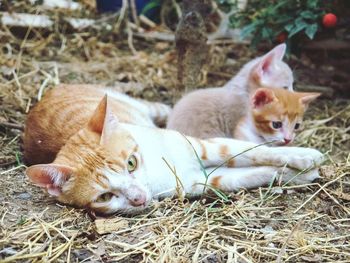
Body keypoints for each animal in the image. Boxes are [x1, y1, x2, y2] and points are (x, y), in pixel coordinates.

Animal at [26, 93, 324, 214]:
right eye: (105, 197)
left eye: (131, 163)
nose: (138, 199)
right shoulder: (201, 181)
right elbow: (254, 173)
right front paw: (296, 174)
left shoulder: (206, 146)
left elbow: (254, 151)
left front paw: (303, 156)